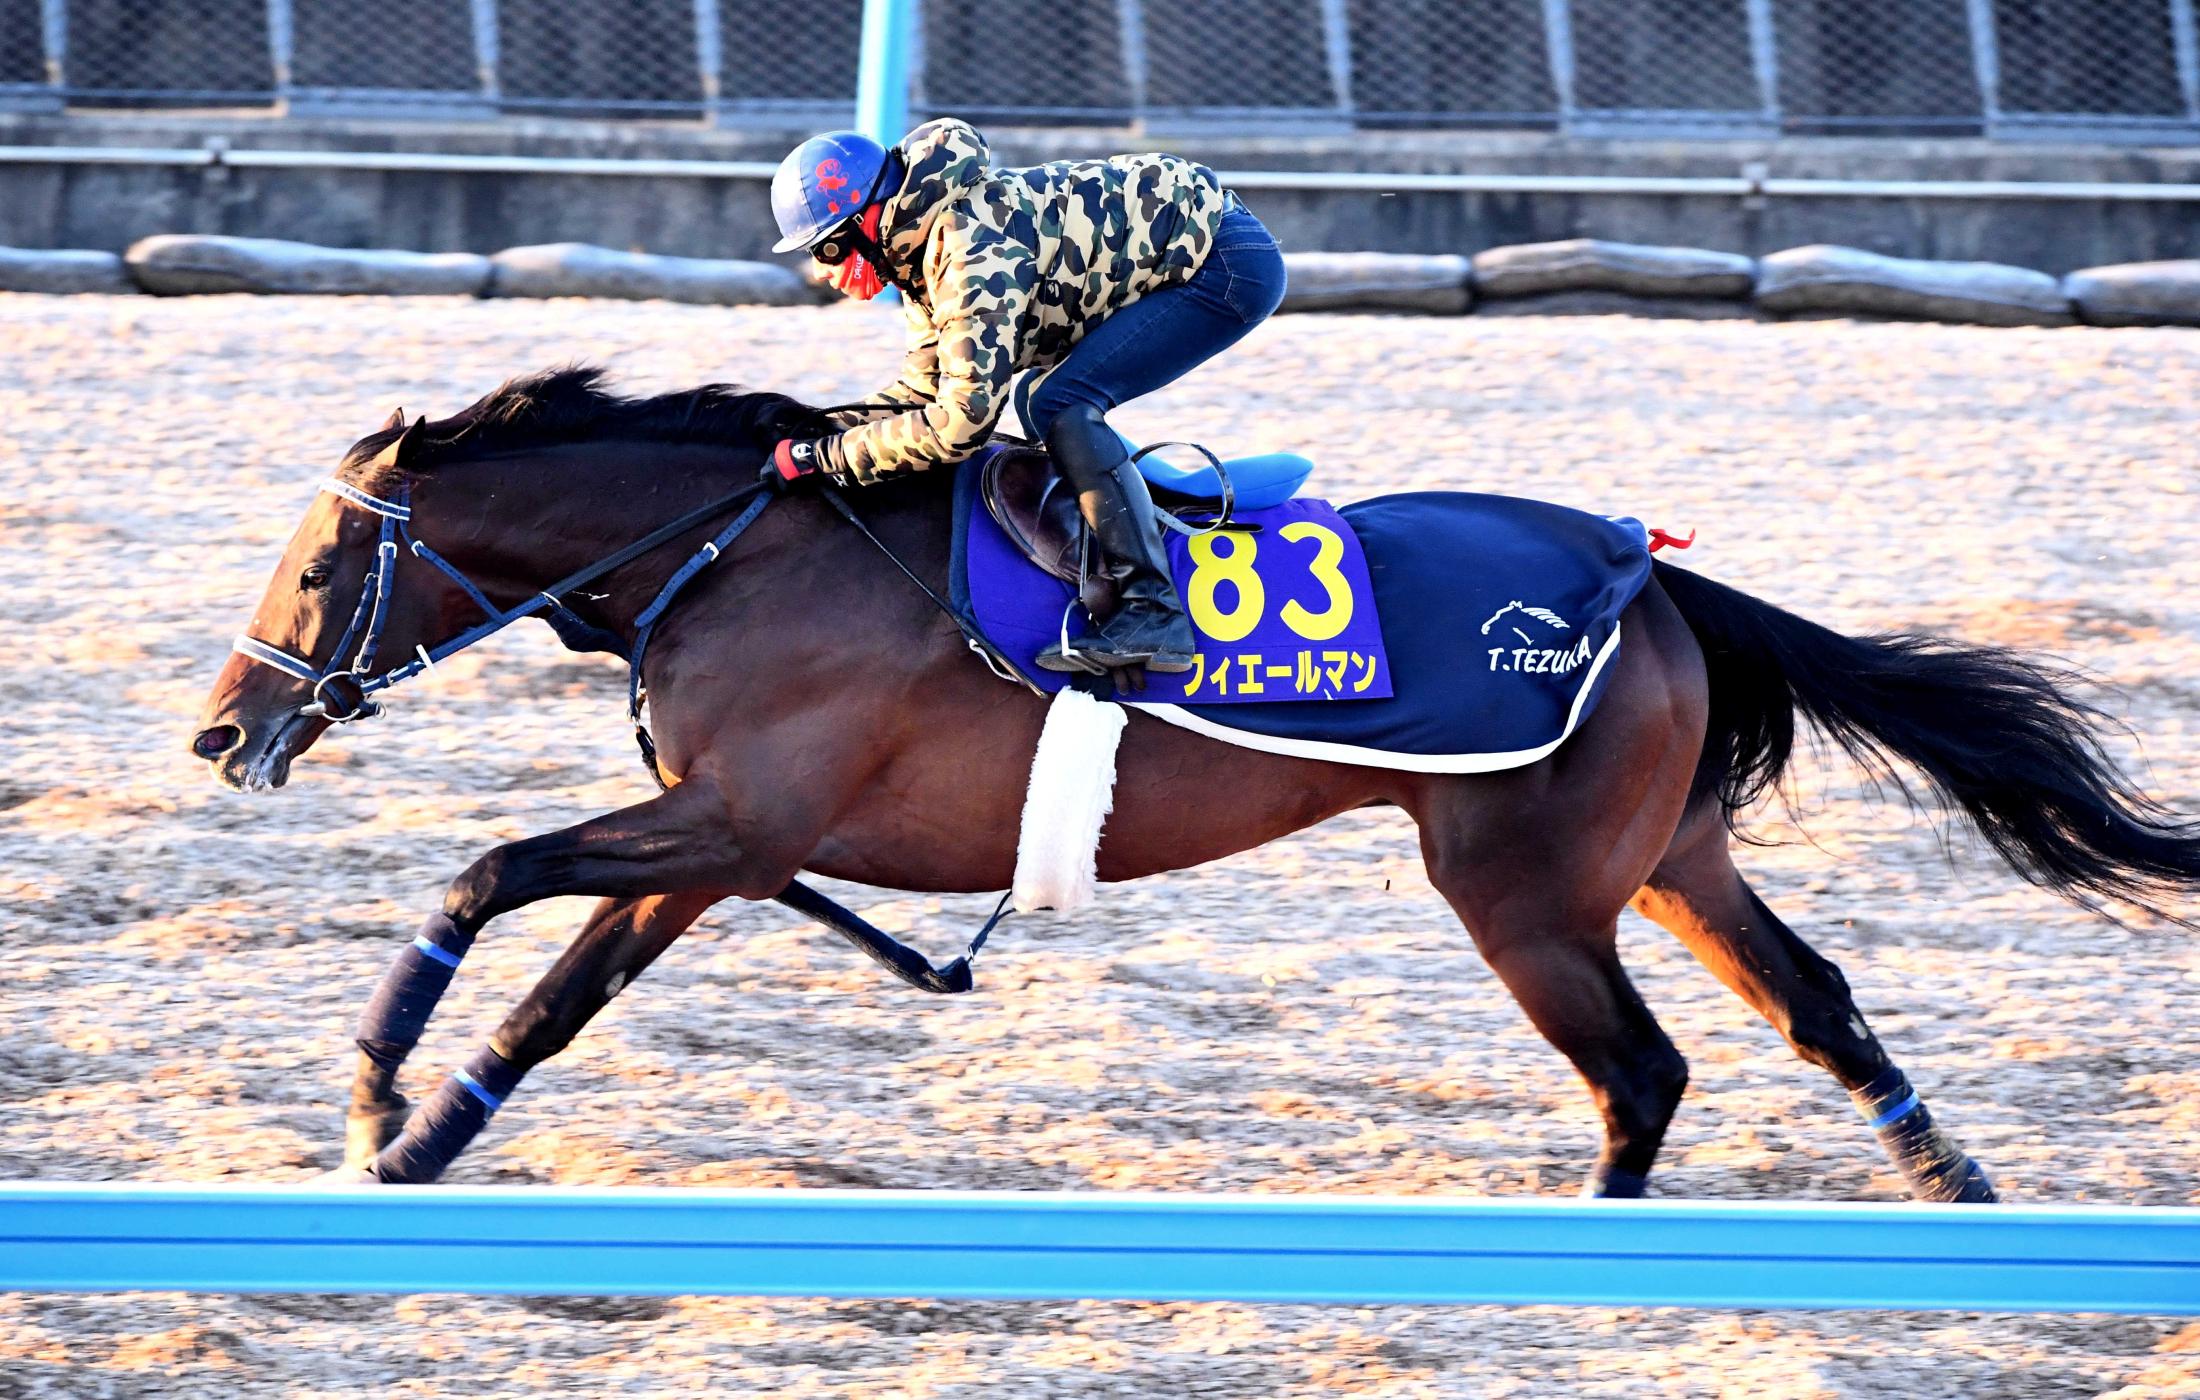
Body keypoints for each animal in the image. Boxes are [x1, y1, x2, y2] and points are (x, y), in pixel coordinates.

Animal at [193, 365, 2200, 1197]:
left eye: (321, 562)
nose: (223, 729)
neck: (732, 551)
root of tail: (1652, 572)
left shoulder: (739, 823)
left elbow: (484, 875)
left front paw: (371, 1092)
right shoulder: (717, 850)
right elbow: (548, 1002)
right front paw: (417, 1144)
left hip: (1525, 890)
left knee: (1643, 1073)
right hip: (1666, 857)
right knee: (1818, 1006)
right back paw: (1954, 1188)